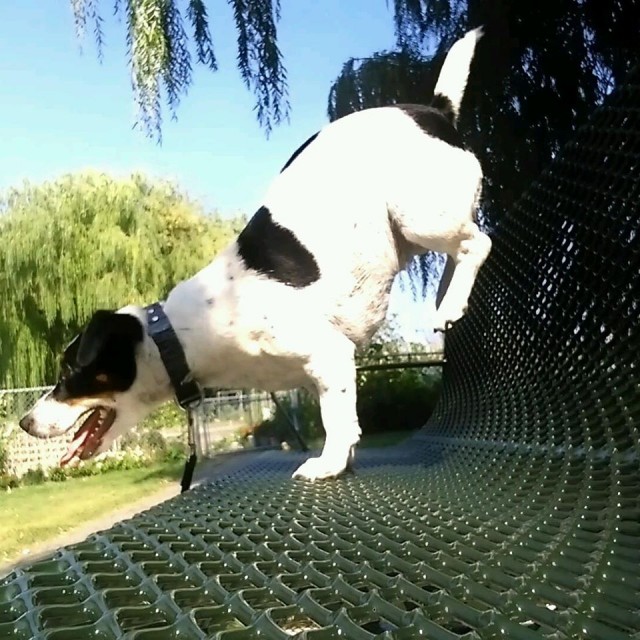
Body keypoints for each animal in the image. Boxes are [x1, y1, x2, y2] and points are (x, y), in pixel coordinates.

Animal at [20, 28, 490, 480]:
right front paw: (344, 461)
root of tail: (434, 110)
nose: (24, 422)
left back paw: (449, 304)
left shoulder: (330, 354)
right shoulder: (317, 374)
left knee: (477, 243)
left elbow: (337, 422)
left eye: (69, 374)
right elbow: (335, 415)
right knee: (458, 252)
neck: (178, 334)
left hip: (420, 216)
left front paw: (328, 465)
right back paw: (447, 298)